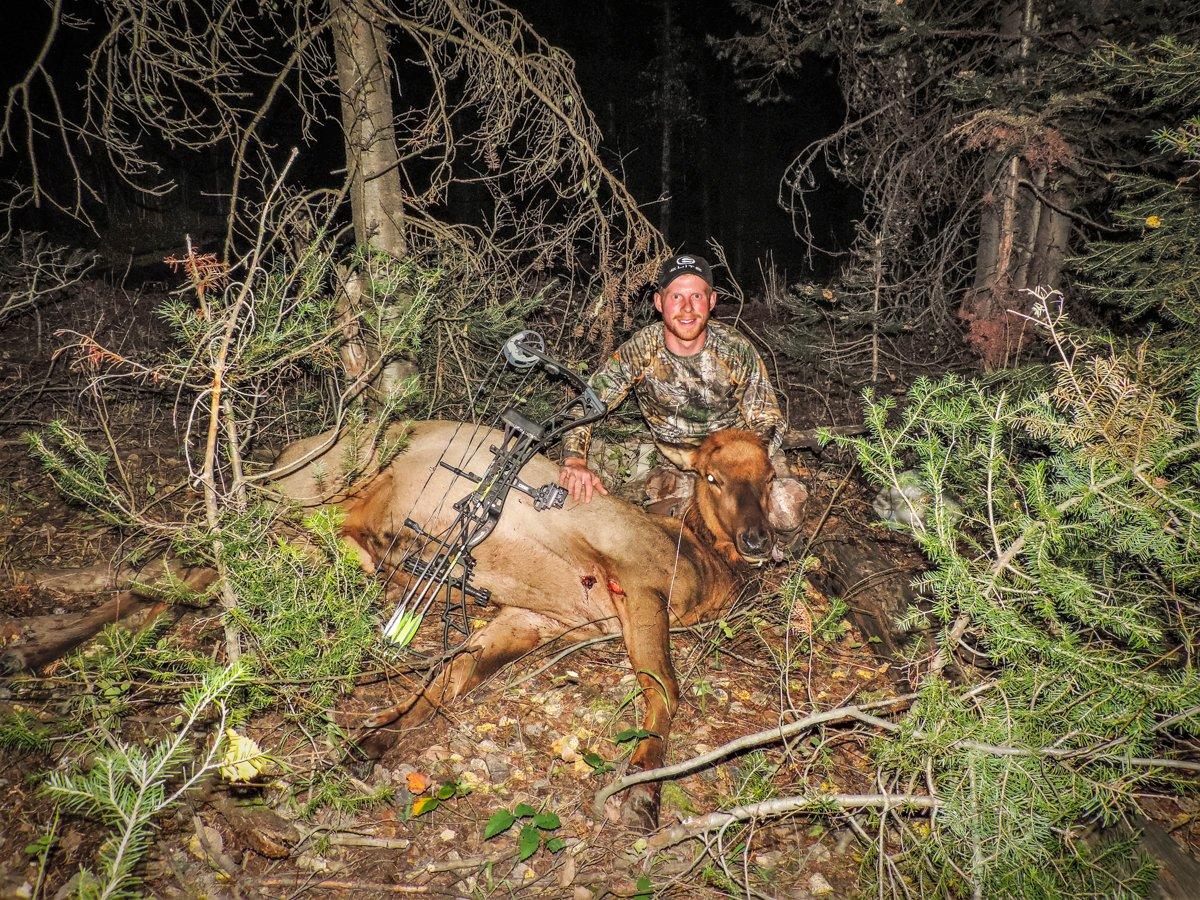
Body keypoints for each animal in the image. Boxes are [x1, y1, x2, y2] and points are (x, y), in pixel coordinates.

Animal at [271, 422, 777, 830]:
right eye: (711, 476)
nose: (757, 539)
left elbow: (453, 674)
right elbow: (665, 687)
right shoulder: (635, 580)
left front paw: (373, 740)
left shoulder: (539, 617)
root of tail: (282, 454)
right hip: (326, 484)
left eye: (769, 476)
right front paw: (641, 793)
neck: (704, 565)